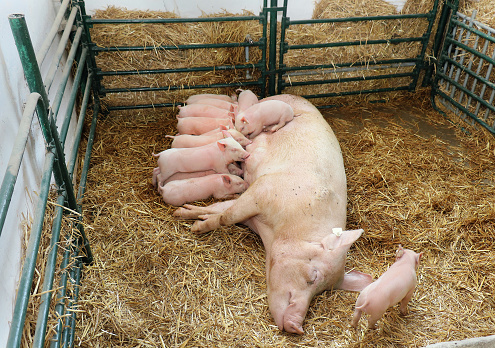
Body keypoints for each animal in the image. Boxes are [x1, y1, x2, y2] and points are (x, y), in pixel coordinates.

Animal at [174, 94, 372, 334]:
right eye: (313, 276)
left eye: (323, 292)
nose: (297, 326)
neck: (273, 232)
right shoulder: (263, 190)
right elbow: (226, 216)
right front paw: (192, 223)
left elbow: (222, 209)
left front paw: (187, 214)